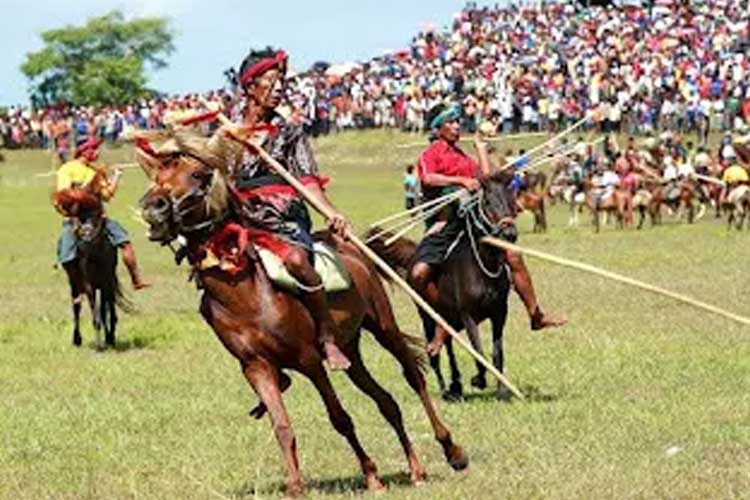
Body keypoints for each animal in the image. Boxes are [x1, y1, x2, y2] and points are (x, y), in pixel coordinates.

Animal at [135, 139, 464, 498]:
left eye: (195, 174)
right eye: (155, 175)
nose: (153, 208)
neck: (245, 293)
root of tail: (349, 249)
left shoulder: (310, 360)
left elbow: (339, 418)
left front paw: (371, 475)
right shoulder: (257, 367)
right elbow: (282, 426)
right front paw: (296, 486)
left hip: (383, 327)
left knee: (414, 378)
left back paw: (451, 451)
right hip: (351, 350)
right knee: (386, 402)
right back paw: (416, 468)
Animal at [368, 172, 520, 402]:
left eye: (512, 201)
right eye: (487, 202)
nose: (510, 233)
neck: (483, 268)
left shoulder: (499, 314)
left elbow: (496, 353)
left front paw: (501, 391)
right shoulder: (468, 316)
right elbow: (478, 351)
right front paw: (478, 380)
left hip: (449, 317)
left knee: (446, 343)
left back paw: (455, 384)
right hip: (428, 315)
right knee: (435, 352)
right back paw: (445, 389)